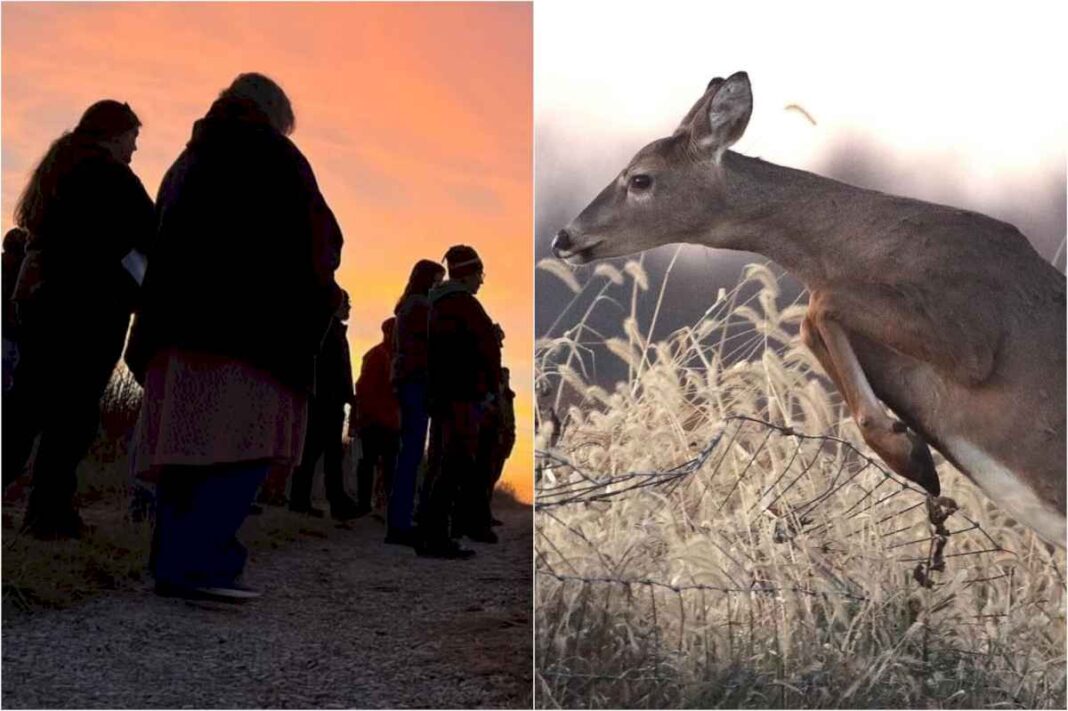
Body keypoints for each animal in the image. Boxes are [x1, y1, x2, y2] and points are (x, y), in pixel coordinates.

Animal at [555, 72, 1063, 544]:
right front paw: (909, 451)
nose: (565, 237)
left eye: (640, 178)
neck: (872, 246)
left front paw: (910, 456)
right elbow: (812, 320)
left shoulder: (972, 334)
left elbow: (820, 304)